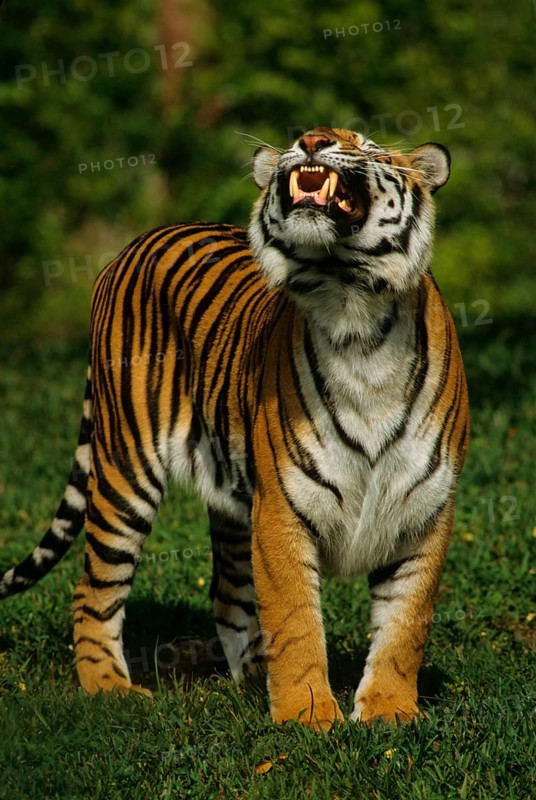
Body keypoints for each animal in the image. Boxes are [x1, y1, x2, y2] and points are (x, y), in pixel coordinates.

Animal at [0, 127, 469, 730]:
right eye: (311, 135)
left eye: (365, 144)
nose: (310, 140)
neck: (353, 305)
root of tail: (136, 242)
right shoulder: (283, 508)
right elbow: (296, 620)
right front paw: (308, 717)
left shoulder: (423, 508)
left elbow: (404, 626)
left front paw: (389, 714)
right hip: (125, 467)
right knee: (92, 590)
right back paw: (110, 689)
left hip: (230, 500)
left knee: (228, 595)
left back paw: (248, 682)